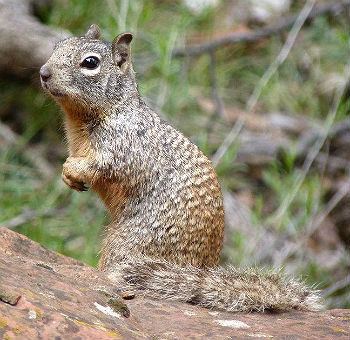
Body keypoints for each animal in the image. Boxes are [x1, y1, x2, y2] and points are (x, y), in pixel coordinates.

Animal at [39, 23, 322, 310]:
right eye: (58, 45)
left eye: (90, 63)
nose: (43, 72)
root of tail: (199, 269)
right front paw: (67, 175)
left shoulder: (123, 148)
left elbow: (103, 166)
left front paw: (74, 170)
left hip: (128, 245)